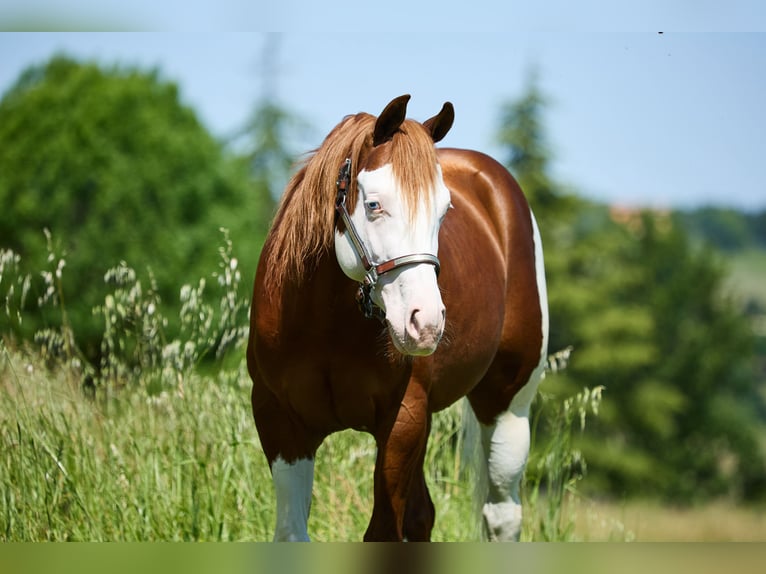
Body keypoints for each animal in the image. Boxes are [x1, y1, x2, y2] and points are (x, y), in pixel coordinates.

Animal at [246, 95, 549, 541]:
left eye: (444, 211)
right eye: (374, 204)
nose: (426, 325)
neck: (325, 326)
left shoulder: (402, 422)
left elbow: (384, 532)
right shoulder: (280, 422)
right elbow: (291, 533)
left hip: (506, 405)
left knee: (501, 515)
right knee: (424, 515)